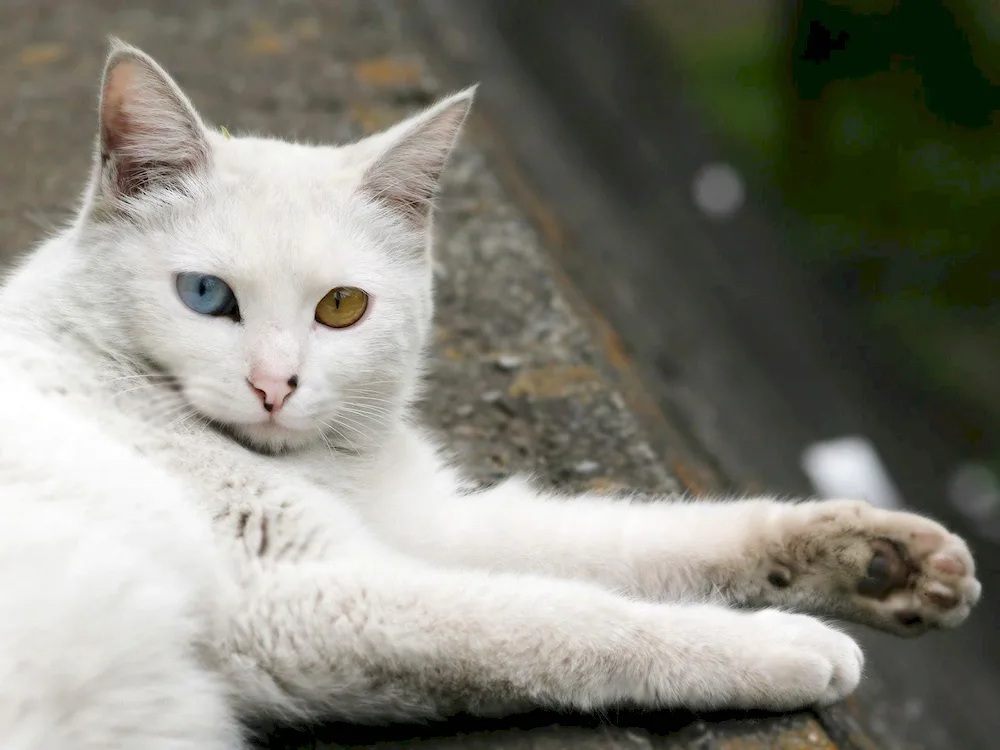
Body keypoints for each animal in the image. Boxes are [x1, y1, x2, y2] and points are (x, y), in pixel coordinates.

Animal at [0, 41, 984, 750]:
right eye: (206, 296)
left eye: (341, 307)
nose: (273, 386)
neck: (329, 469)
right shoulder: (304, 595)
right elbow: (565, 617)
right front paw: (783, 644)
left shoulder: (430, 525)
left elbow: (636, 540)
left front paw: (880, 561)